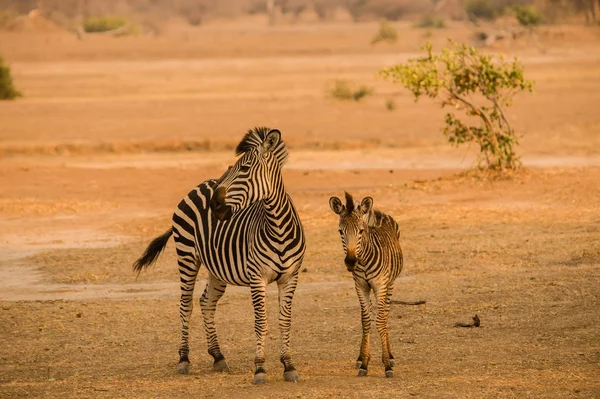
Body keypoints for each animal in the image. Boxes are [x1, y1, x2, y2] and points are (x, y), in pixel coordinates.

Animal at [134, 127, 308, 384]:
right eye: (231, 167)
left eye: (244, 169)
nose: (215, 204)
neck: (278, 227)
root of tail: (201, 185)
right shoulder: (257, 278)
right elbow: (261, 322)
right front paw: (260, 369)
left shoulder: (290, 277)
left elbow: (285, 321)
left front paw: (288, 365)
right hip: (187, 255)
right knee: (186, 304)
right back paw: (184, 359)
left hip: (217, 268)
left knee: (206, 302)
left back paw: (218, 356)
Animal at [328, 192, 404, 380]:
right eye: (340, 231)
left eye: (361, 231)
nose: (350, 262)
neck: (362, 260)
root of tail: (379, 213)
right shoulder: (360, 286)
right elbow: (365, 320)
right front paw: (364, 362)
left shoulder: (380, 286)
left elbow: (381, 321)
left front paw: (387, 365)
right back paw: (361, 357)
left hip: (390, 284)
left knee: (386, 314)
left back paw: (390, 356)